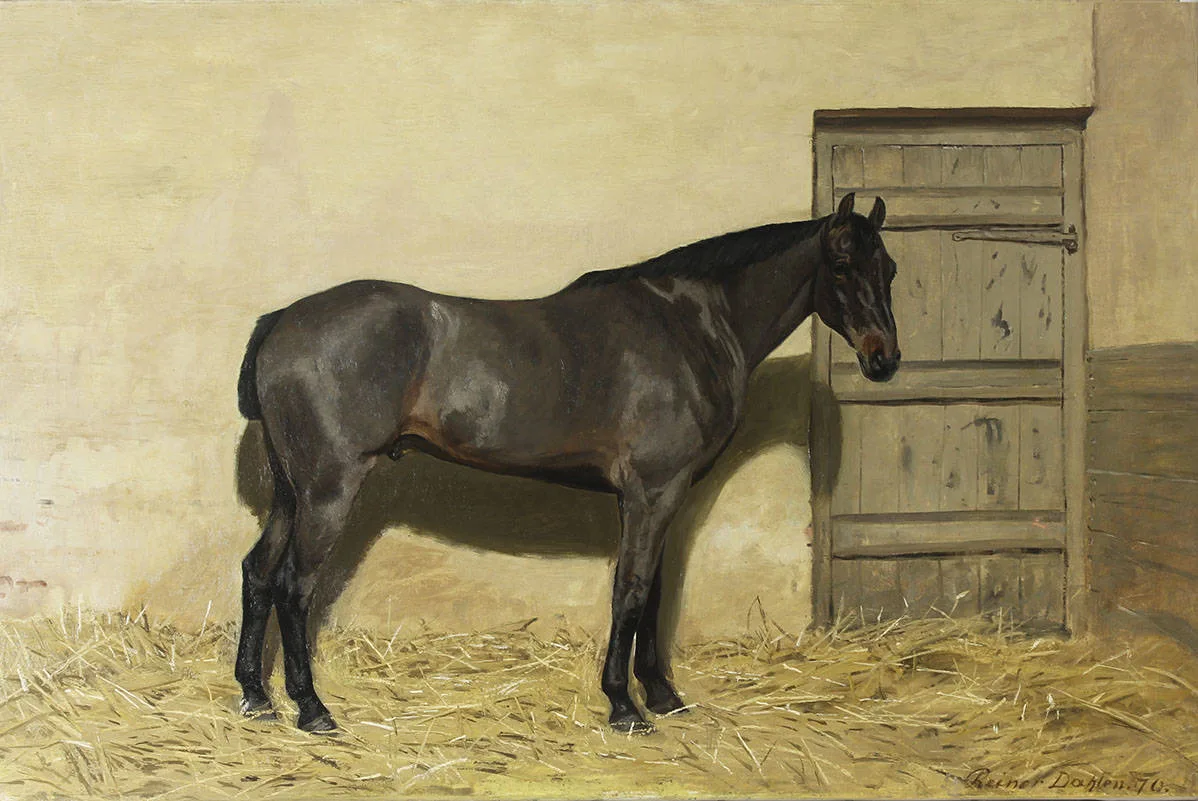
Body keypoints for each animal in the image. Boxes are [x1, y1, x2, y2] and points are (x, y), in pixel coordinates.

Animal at [233, 192, 900, 734]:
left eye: (889, 268)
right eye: (842, 265)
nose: (884, 359)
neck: (689, 328)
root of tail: (282, 321)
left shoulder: (661, 497)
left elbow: (653, 591)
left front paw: (662, 696)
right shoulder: (651, 491)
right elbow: (631, 591)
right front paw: (625, 706)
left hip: (293, 493)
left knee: (259, 573)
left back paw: (257, 699)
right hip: (330, 489)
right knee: (294, 584)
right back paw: (312, 710)